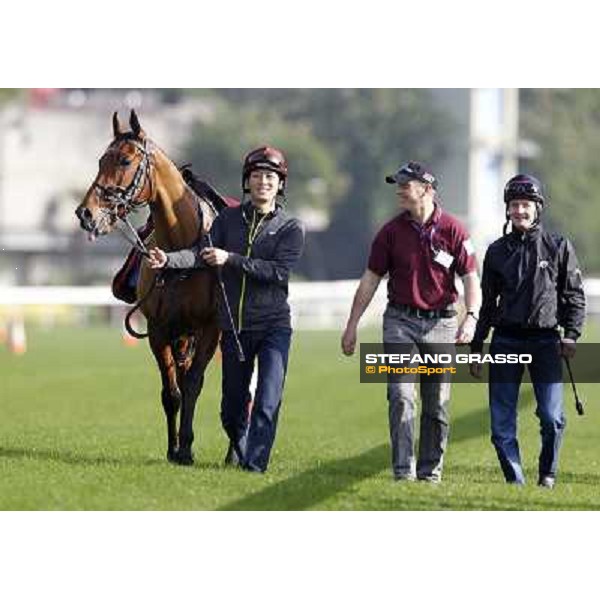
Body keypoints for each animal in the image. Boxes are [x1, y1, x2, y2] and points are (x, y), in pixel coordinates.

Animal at [75, 110, 220, 466]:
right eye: (101, 160)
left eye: (126, 160)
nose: (86, 213)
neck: (183, 252)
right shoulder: (159, 329)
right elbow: (172, 393)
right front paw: (174, 448)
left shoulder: (210, 328)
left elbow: (193, 385)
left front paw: (186, 448)